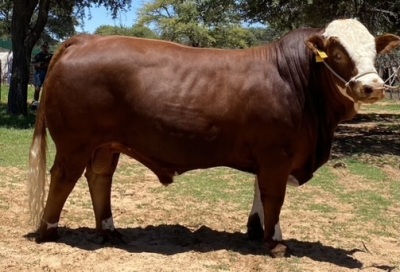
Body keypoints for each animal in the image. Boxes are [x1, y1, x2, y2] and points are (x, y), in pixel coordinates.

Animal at [28, 18, 400, 258]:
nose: (373, 87)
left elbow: (259, 192)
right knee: (63, 178)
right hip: (75, 142)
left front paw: (256, 230)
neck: (298, 79)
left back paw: (109, 231)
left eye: (374, 52)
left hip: (106, 145)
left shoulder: (269, 157)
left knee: (100, 177)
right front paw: (275, 243)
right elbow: (274, 196)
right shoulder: (276, 155)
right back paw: (48, 231)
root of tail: (85, 40)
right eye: (337, 53)